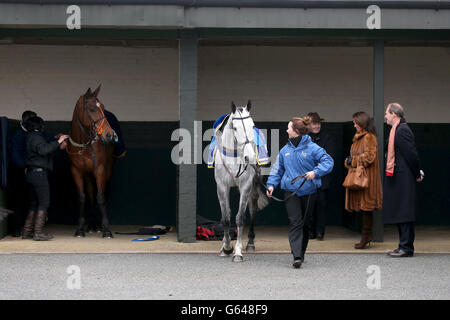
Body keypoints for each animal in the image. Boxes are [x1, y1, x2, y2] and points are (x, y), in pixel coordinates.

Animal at [67, 85, 117, 238]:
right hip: (88, 174)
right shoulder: (76, 171)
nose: (109, 134)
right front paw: (80, 229)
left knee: (103, 193)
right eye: (92, 109)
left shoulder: (99, 169)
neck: (83, 145)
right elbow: (83, 197)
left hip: (107, 169)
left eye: (103, 107)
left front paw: (106, 229)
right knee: (90, 194)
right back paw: (92, 224)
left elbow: (100, 197)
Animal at [214, 100, 268, 262]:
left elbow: (240, 218)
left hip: (254, 186)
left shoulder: (245, 186)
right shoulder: (222, 186)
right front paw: (226, 248)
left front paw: (237, 252)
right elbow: (226, 218)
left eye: (252, 125)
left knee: (253, 208)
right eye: (235, 128)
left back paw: (250, 243)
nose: (250, 157)